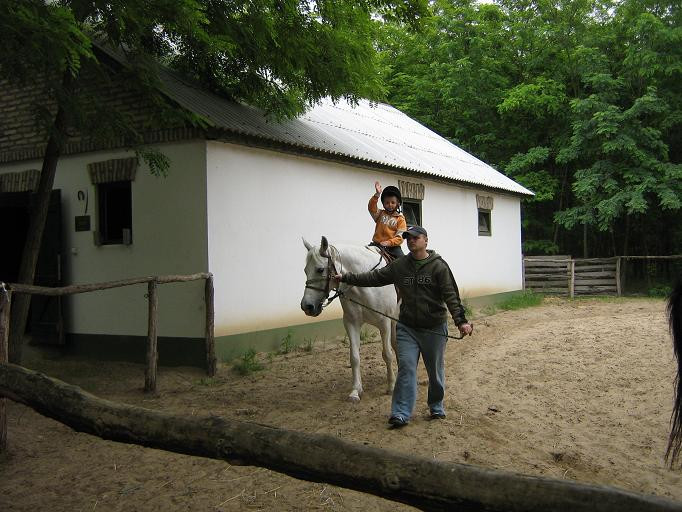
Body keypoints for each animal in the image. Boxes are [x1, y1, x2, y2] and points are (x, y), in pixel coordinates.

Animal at [298, 238, 398, 402]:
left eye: (320, 269)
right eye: (306, 271)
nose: (307, 306)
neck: (365, 284)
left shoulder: (384, 323)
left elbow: (387, 354)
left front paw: (391, 386)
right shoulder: (351, 323)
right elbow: (354, 357)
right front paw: (356, 390)